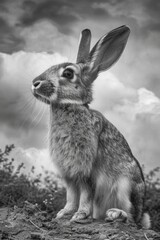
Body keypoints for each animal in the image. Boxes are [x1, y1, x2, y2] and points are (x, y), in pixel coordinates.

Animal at [31, 25, 151, 228]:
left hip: (126, 187)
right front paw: (63, 213)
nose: (35, 83)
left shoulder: (85, 169)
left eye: (68, 73)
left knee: (132, 219)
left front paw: (80, 215)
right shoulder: (69, 173)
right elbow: (71, 195)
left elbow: (86, 194)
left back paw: (116, 214)